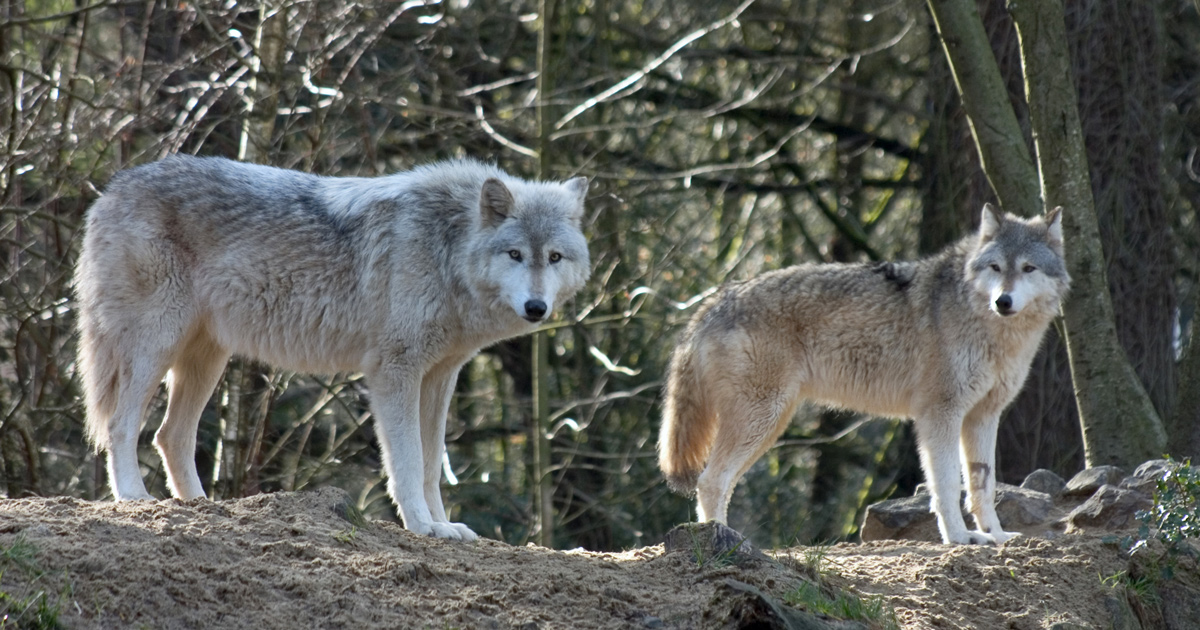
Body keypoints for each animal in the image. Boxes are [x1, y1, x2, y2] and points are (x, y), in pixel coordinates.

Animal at [76, 155, 590, 541]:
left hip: (207, 361)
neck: (448, 248)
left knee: (170, 435)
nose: (537, 307)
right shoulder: (394, 374)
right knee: (121, 424)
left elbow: (431, 463)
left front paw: (443, 526)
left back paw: (202, 506)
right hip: (156, 346)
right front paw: (422, 525)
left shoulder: (441, 377)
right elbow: (408, 461)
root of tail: (111, 189)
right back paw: (134, 498)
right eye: (515, 254)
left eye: (554, 257)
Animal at [659, 205, 1069, 545]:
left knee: (719, 482)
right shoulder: (940, 414)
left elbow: (983, 484)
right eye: (996, 267)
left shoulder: (983, 416)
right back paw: (722, 539)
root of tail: (714, 302)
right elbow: (948, 485)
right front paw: (959, 538)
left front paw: (995, 535)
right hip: (761, 420)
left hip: (768, 427)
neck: (990, 328)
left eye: (1028, 268)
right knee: (710, 481)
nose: (1003, 301)